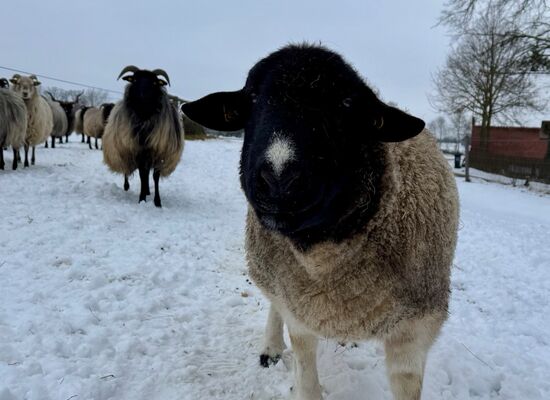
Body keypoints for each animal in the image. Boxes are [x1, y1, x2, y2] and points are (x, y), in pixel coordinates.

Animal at [102, 66, 184, 207]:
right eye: (134, 80)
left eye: (154, 83)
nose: (142, 96)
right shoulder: (138, 151)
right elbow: (142, 175)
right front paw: (142, 199)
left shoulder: (159, 153)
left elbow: (155, 176)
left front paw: (157, 202)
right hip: (124, 149)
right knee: (129, 171)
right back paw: (128, 186)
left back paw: (147, 191)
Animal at [181, 44, 459, 400]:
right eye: (251, 98)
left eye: (347, 105)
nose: (279, 178)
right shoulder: (299, 312)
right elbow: (305, 372)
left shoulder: (414, 334)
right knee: (274, 304)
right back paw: (271, 347)